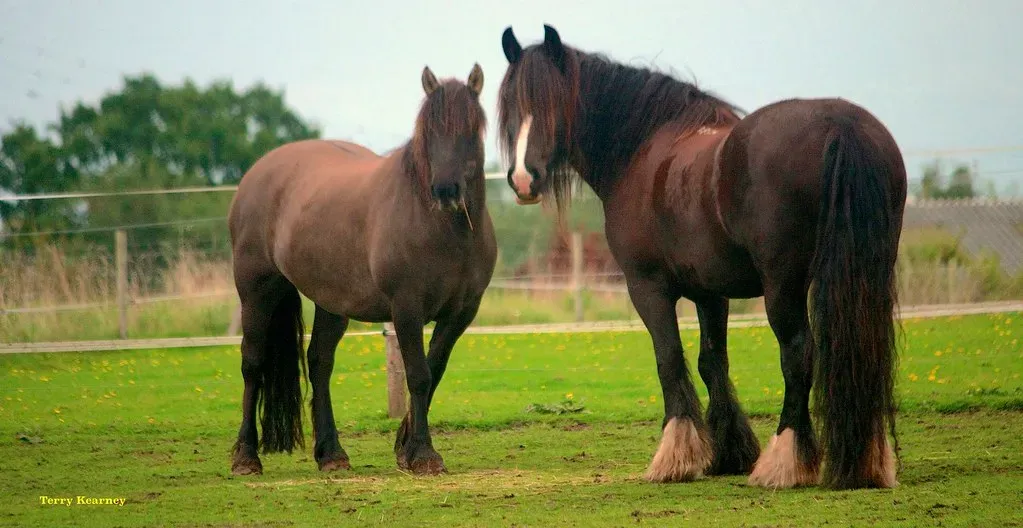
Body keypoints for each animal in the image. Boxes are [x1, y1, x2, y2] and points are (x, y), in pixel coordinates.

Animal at [227, 64, 497, 476]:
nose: (446, 191)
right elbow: (418, 376)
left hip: (332, 303)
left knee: (319, 363)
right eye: (429, 131)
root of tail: (255, 175)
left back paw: (331, 454)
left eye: (471, 129)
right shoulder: (406, 308)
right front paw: (424, 455)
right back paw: (246, 457)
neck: (442, 229)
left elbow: (434, 371)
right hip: (257, 293)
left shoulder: (461, 313)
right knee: (252, 363)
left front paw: (405, 448)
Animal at [497, 25, 907, 490]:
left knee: (798, 353)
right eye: (512, 105)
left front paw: (676, 456)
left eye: (553, 103)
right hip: (868, 274)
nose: (523, 180)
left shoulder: (648, 288)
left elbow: (670, 359)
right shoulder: (712, 293)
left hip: (783, 285)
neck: (642, 151)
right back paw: (868, 462)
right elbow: (712, 362)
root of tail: (842, 124)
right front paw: (728, 451)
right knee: (867, 348)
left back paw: (784, 460)